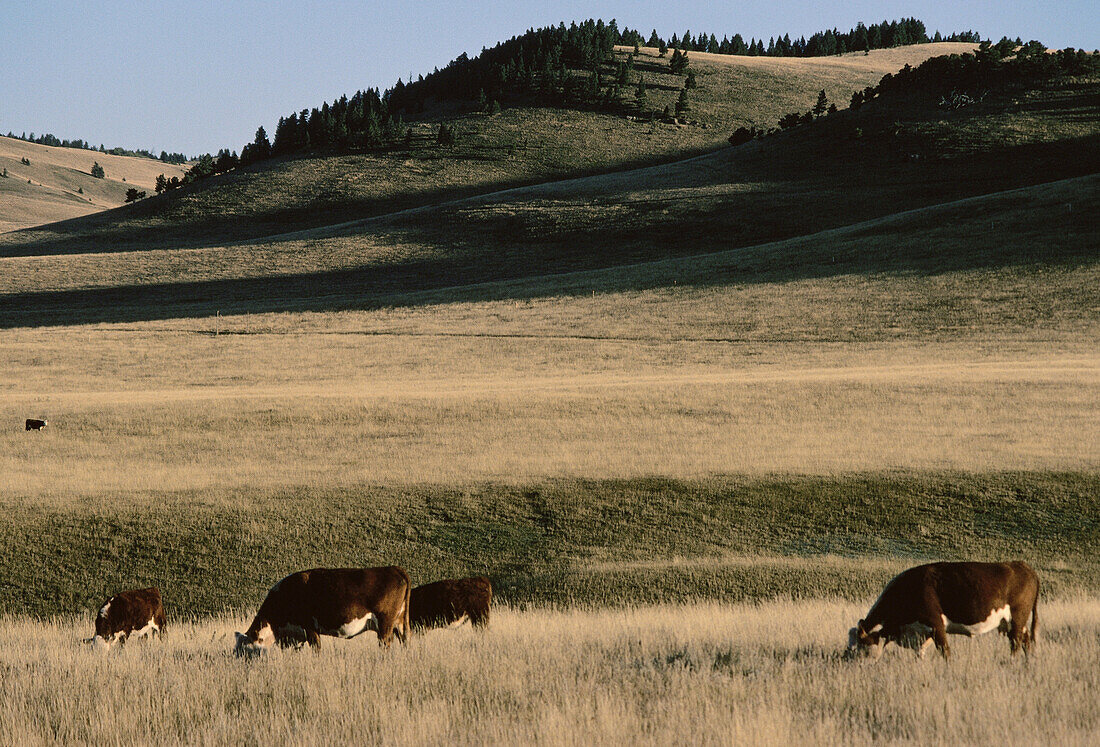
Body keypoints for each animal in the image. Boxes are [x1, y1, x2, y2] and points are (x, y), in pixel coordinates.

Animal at [236, 567, 413, 655]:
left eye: (245, 649)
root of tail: (393, 568)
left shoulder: (310, 628)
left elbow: (317, 649)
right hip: (399, 623)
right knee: (405, 640)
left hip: (385, 623)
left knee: (386, 643)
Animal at [849, 561, 1038, 660]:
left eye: (860, 647)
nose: (847, 661)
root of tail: (1022, 565)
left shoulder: (936, 626)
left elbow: (945, 652)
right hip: (1017, 623)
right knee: (1026, 641)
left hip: (1017, 618)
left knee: (1016, 643)